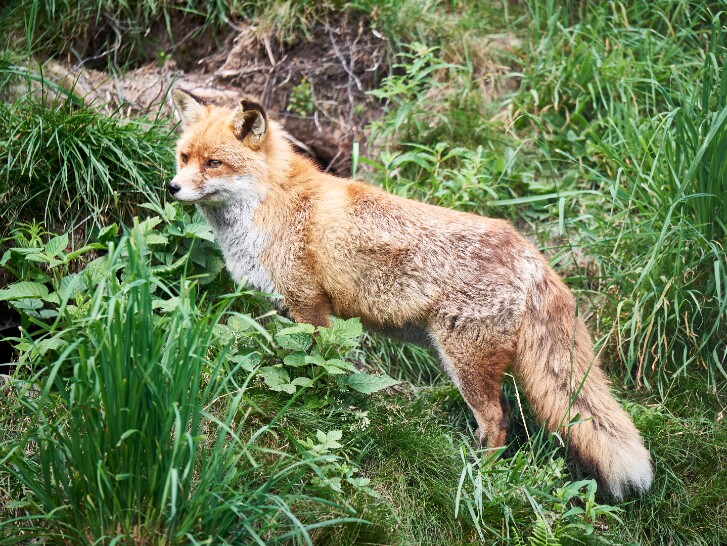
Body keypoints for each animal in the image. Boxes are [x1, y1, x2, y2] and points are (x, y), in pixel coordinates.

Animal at [169, 89, 653, 500]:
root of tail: (530, 253)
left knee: (499, 421)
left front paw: (315, 401)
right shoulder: (282, 307)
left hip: (465, 363)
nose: (172, 187)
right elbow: (284, 357)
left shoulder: (310, 304)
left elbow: (316, 365)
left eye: (214, 163)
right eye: (184, 157)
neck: (272, 206)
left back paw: (482, 477)